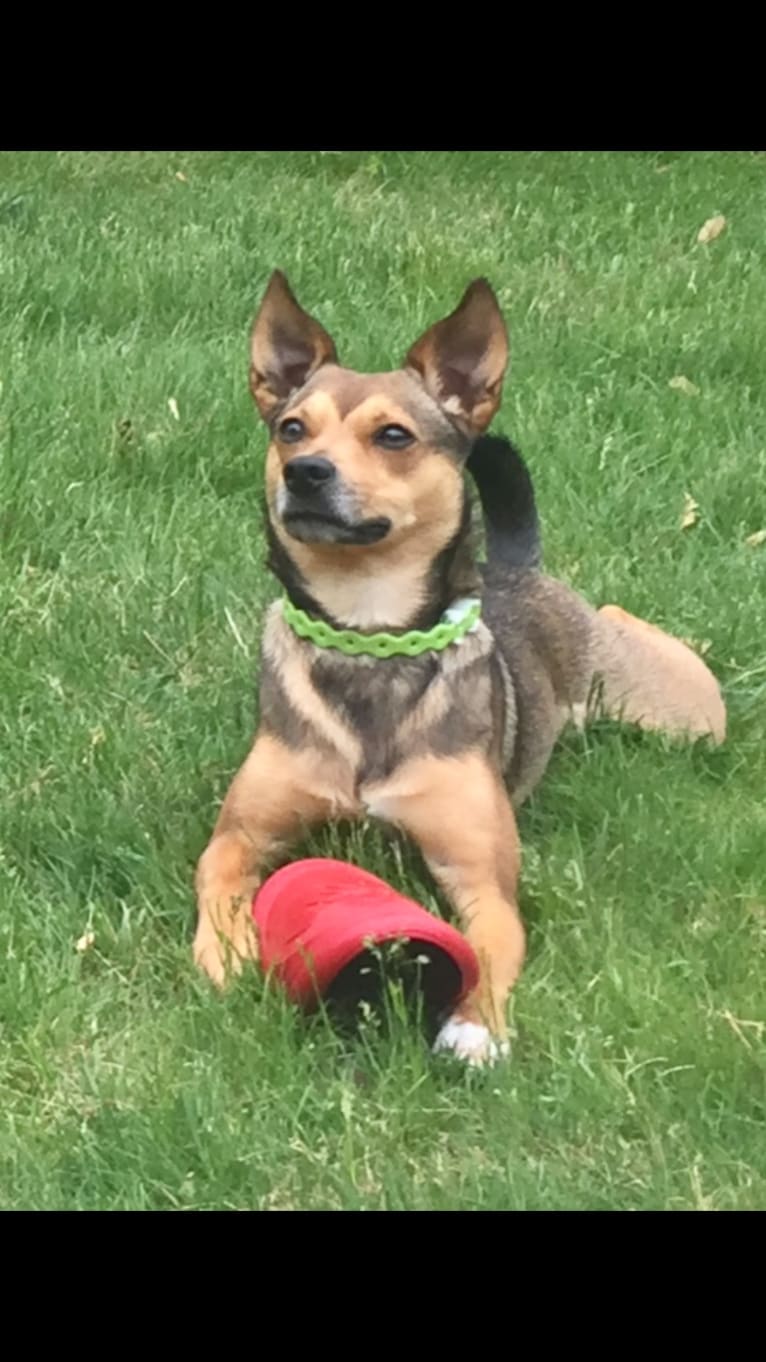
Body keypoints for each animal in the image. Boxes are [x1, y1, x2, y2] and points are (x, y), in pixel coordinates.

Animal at [190, 271, 719, 1067]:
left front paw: (476, 1026)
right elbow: (215, 876)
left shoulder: (483, 880)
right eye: (291, 428)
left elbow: (493, 947)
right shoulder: (242, 835)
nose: (305, 473)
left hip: (676, 711)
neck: (367, 635)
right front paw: (226, 949)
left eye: (393, 436)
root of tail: (516, 568)